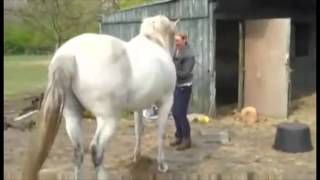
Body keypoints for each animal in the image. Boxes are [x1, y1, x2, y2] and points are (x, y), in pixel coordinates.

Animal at [23, 15, 178, 180]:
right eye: (174, 35)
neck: (154, 41)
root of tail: (69, 54)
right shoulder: (167, 101)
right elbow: (161, 131)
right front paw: (162, 164)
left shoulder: (139, 107)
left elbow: (138, 130)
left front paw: (137, 157)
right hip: (108, 118)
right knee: (96, 150)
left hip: (72, 115)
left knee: (78, 151)